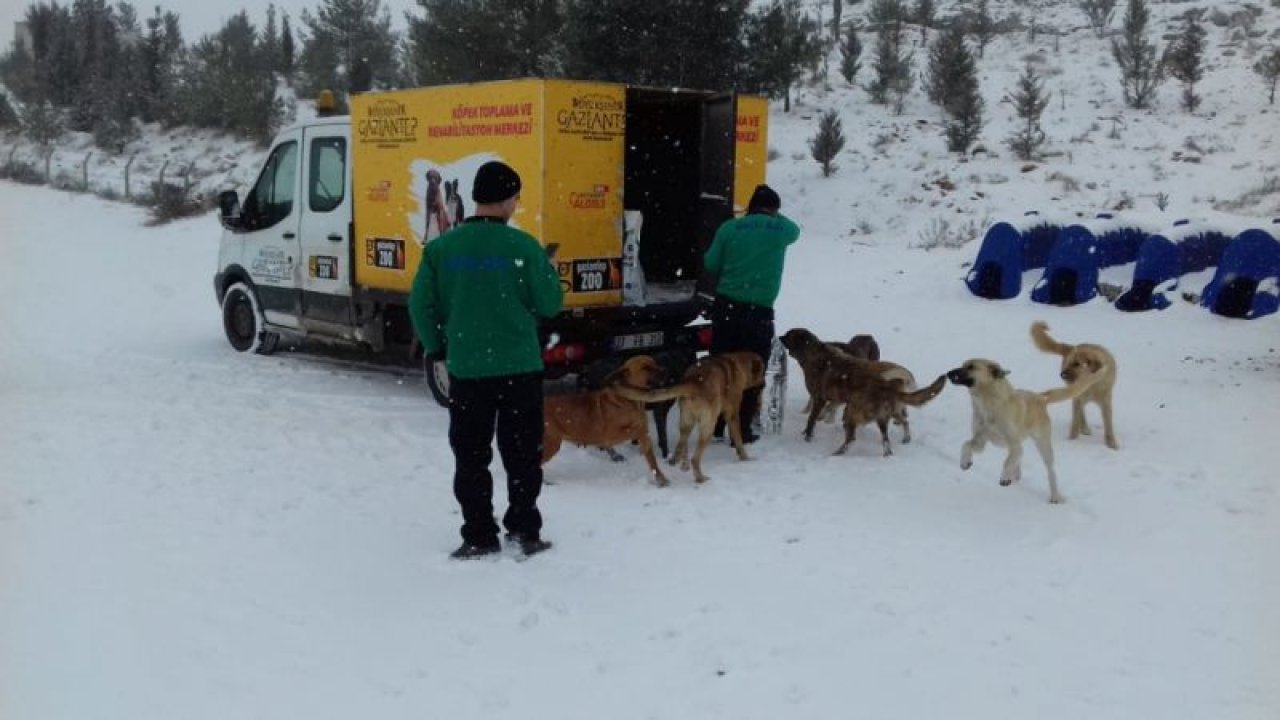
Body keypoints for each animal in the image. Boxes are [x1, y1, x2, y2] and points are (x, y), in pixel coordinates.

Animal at [540, 353, 670, 481]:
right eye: (645, 368)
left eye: (655, 363)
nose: (665, 370)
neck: (631, 400)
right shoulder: (611, 435)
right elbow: (636, 430)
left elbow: (652, 461)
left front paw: (661, 479)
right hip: (552, 442)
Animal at [616, 348, 762, 479]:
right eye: (763, 371)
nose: (763, 384)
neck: (737, 364)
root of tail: (693, 381)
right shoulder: (733, 414)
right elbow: (738, 439)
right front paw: (744, 457)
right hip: (708, 425)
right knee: (694, 458)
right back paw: (699, 477)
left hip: (686, 420)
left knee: (682, 443)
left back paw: (678, 462)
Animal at [773, 326, 947, 453]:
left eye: (788, 335)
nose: (779, 336)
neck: (813, 352)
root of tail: (891, 384)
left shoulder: (819, 398)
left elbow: (811, 419)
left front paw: (808, 437)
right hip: (886, 413)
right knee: (896, 429)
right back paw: (902, 440)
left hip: (851, 412)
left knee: (852, 438)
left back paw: (839, 452)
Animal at [952, 356, 1100, 502]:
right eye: (963, 364)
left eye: (971, 366)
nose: (949, 373)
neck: (989, 405)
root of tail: (1041, 397)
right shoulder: (980, 439)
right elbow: (966, 444)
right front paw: (965, 462)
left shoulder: (1013, 442)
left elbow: (1007, 462)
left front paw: (1004, 478)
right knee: (1018, 457)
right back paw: (1015, 475)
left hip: (1043, 445)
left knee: (1049, 471)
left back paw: (1054, 496)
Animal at [1029, 316, 1121, 445]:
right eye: (1069, 362)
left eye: (1077, 364)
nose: (1062, 374)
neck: (1093, 386)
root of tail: (1072, 346)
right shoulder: (1077, 398)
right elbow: (1075, 422)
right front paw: (1072, 440)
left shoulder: (1106, 402)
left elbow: (1108, 425)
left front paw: (1112, 444)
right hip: (1076, 396)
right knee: (1080, 413)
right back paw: (1084, 428)